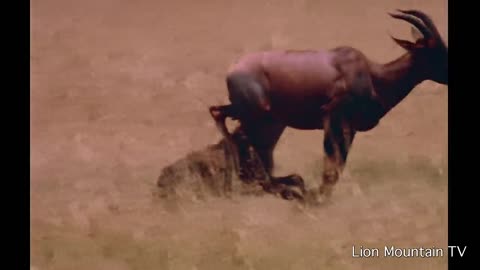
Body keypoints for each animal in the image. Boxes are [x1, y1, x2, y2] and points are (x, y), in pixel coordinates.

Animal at [208, 8, 448, 202]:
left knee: (220, 115)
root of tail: (233, 69)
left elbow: (338, 164)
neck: (370, 74)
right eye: (434, 49)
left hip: (255, 116)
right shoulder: (332, 118)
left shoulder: (350, 128)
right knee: (242, 142)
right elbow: (332, 166)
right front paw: (315, 197)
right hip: (260, 117)